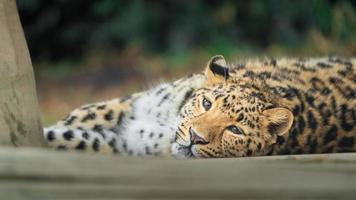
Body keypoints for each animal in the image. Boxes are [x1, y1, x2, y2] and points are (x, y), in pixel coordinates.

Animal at [44, 54, 356, 158]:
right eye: (206, 103)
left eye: (235, 130)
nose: (196, 138)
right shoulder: (134, 103)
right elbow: (85, 116)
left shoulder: (128, 145)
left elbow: (74, 139)